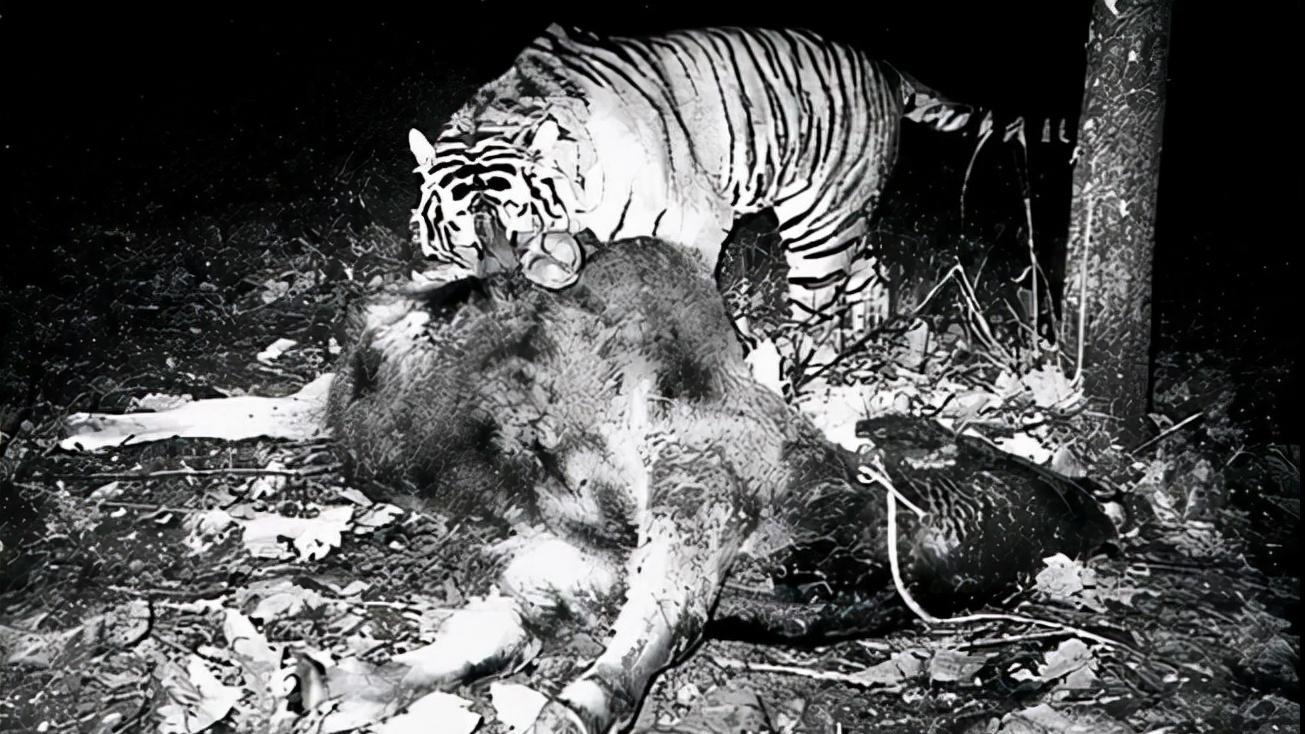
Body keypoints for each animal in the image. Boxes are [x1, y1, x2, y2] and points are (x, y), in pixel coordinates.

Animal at [406, 24, 970, 361]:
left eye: (522, 223)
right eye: (462, 236)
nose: (500, 292)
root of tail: (887, 69)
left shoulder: (693, 223)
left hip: (820, 225)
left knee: (818, 307)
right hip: (847, 213)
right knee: (873, 280)